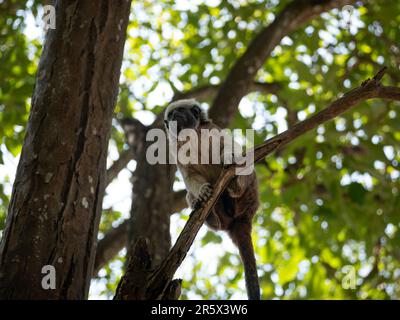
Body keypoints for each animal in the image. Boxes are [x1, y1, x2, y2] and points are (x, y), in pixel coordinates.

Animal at [164, 99, 260, 300]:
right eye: (170, 116)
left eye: (179, 111)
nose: (173, 118)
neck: (192, 134)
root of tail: (244, 217)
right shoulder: (176, 149)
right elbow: (189, 175)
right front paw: (202, 192)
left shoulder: (213, 130)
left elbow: (230, 147)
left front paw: (229, 157)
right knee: (190, 195)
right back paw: (208, 214)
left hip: (250, 193)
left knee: (245, 164)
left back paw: (236, 184)